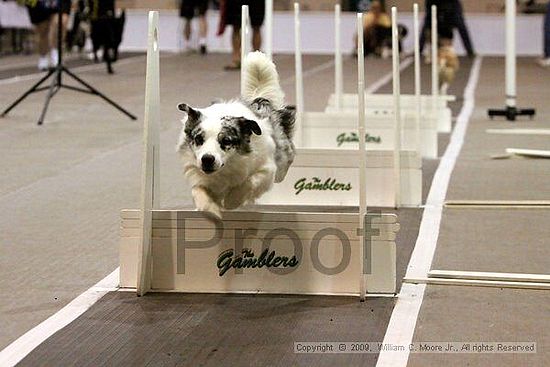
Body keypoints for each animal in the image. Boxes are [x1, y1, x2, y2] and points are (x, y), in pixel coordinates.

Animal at [179, 51, 296, 218]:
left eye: (226, 141)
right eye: (198, 139)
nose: (207, 159)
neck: (226, 168)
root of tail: (259, 101)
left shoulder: (266, 170)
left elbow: (249, 182)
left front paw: (232, 200)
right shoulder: (198, 173)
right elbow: (198, 191)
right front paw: (210, 209)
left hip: (282, 161)